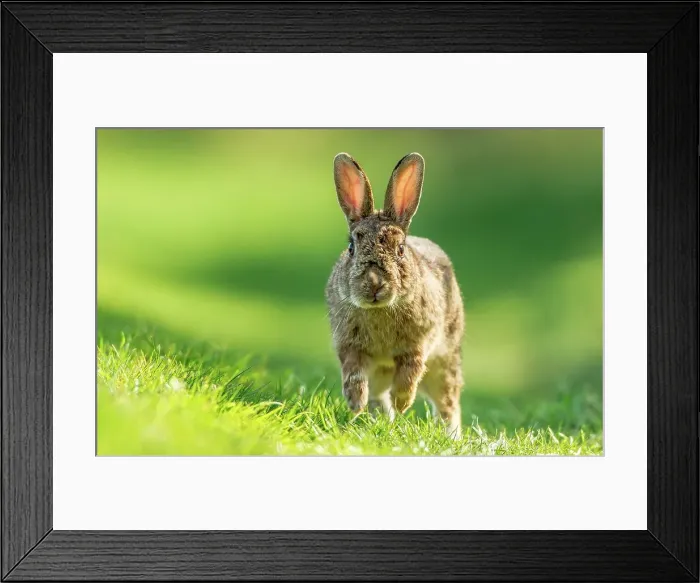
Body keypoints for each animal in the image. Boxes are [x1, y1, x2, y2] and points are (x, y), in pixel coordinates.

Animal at [325, 152, 465, 439]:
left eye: (400, 249)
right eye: (351, 247)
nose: (374, 284)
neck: (379, 310)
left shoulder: (417, 345)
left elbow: (409, 373)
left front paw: (402, 402)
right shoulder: (349, 346)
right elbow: (354, 375)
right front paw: (355, 403)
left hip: (444, 365)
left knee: (448, 404)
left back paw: (451, 435)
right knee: (378, 396)